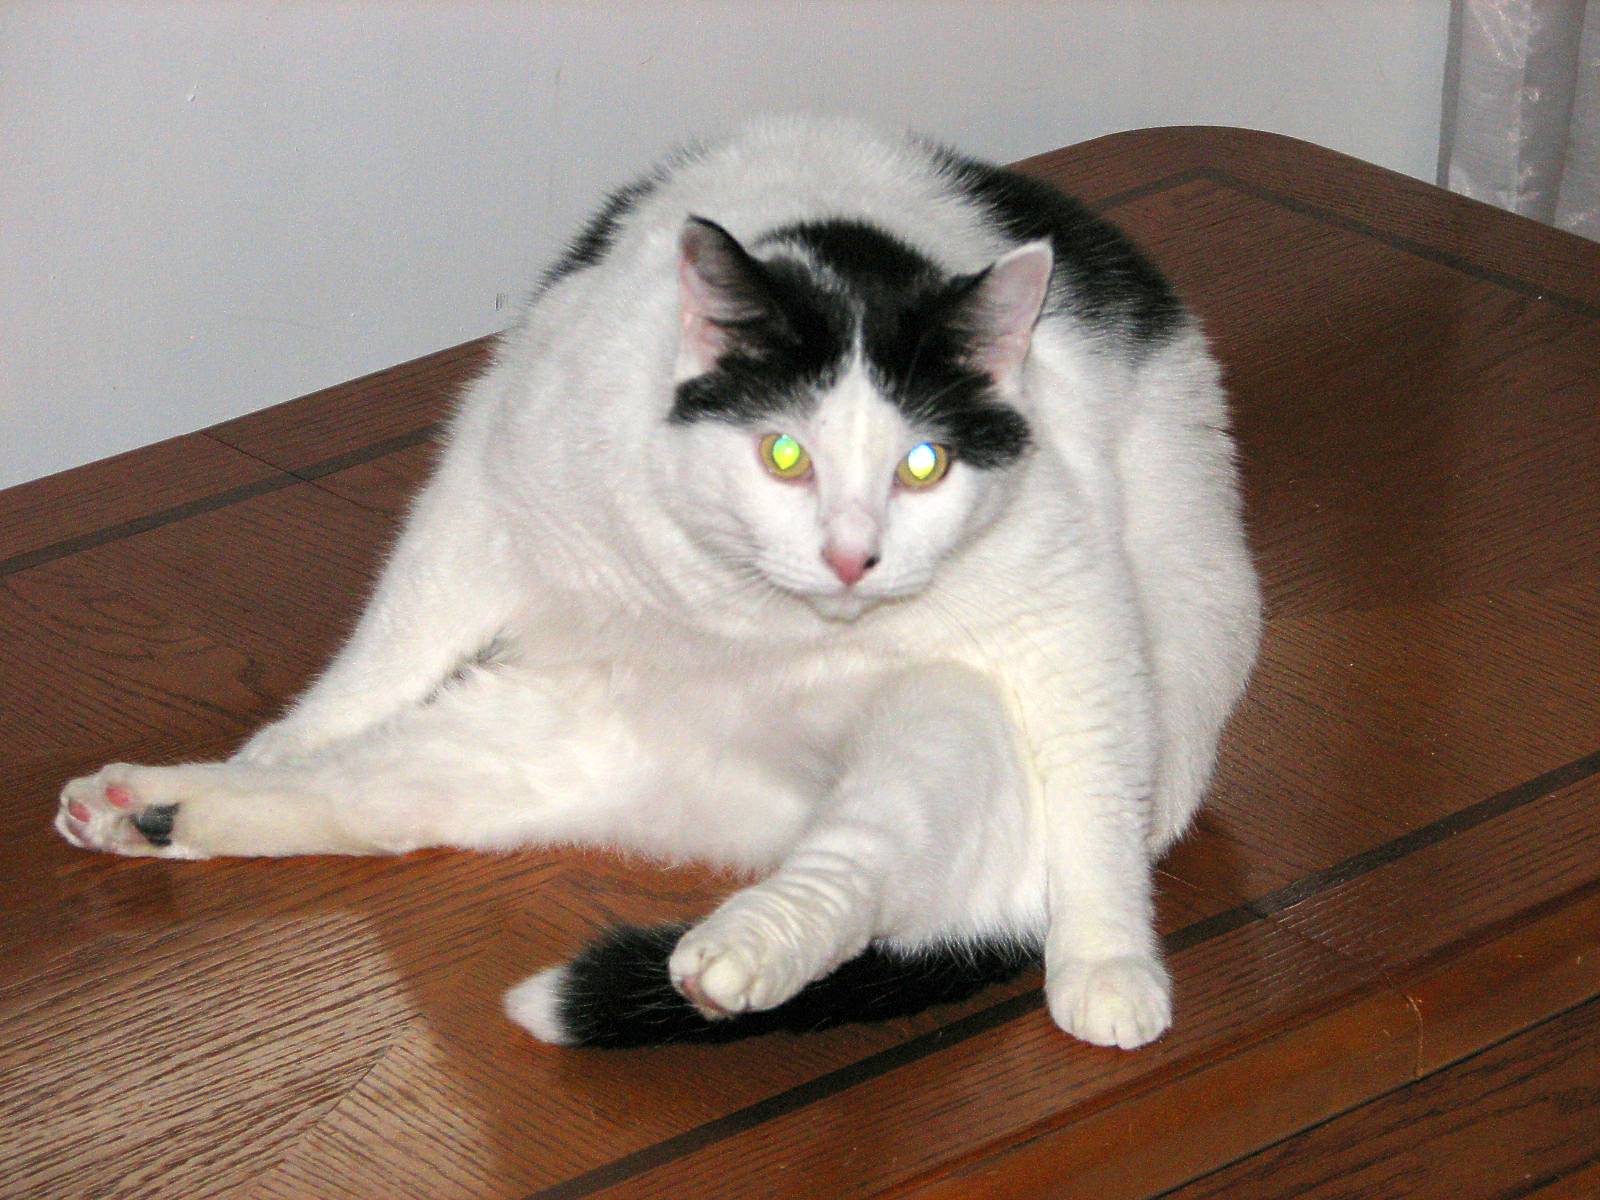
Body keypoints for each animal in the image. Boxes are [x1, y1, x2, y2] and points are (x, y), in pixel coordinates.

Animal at [56, 117, 1260, 1049]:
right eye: (785, 453)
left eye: (923, 465)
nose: (851, 558)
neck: (737, 614)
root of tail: (726, 791)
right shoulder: (485, 490)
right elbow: (384, 647)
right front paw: (283, 740)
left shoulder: (1066, 610)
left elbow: (1094, 782)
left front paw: (1107, 963)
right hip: (524, 733)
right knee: (368, 799)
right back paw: (156, 807)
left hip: (955, 723)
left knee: (869, 865)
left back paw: (739, 953)